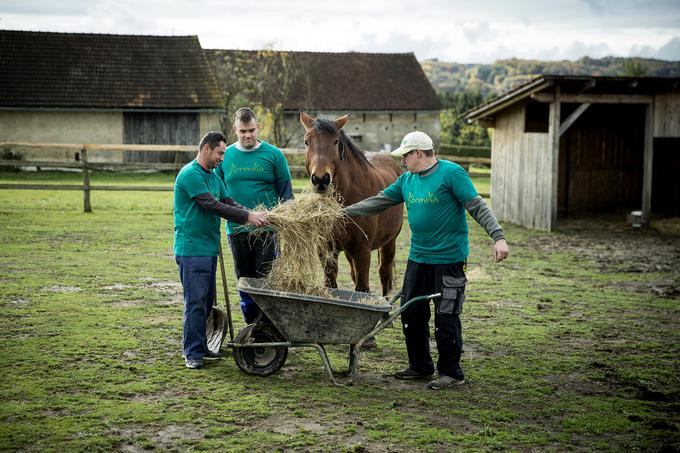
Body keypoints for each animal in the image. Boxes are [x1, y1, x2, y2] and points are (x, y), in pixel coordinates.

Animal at [298, 112, 404, 296]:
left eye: (335, 141)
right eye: (306, 141)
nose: (320, 179)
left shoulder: (362, 251)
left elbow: (362, 287)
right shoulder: (327, 249)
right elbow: (331, 284)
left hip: (389, 242)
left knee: (385, 274)